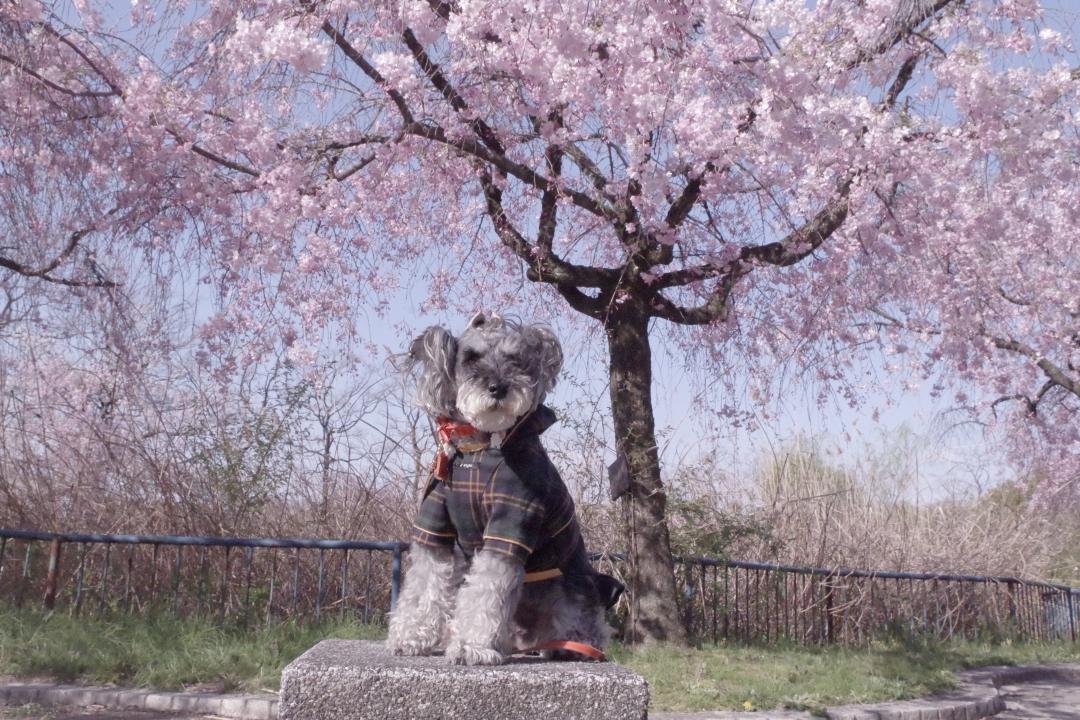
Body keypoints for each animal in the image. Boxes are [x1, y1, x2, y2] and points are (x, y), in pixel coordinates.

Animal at [388, 313, 626, 669]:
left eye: (516, 359)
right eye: (471, 357)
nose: (499, 387)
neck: (477, 450)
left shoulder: (510, 523)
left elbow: (485, 592)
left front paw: (471, 646)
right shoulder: (434, 526)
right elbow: (423, 586)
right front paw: (409, 637)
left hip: (571, 589)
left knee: (587, 621)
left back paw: (571, 645)